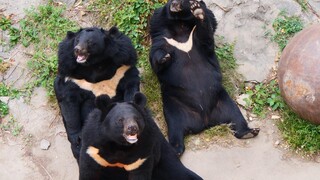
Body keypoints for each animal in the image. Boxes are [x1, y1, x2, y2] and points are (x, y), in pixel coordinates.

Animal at [53, 26, 140, 162]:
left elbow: (131, 83)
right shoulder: (71, 76)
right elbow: (69, 103)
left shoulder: (122, 66)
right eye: (77, 40)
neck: (94, 65)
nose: (77, 50)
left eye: (90, 42)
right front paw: (76, 137)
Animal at [149, 0, 260, 155]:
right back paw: (175, 148)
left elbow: (206, 37)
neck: (180, 24)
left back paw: (249, 131)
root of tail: (205, 121)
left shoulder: (200, 34)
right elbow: (155, 55)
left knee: (236, 116)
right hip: (174, 107)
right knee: (174, 127)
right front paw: (164, 57)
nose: (174, 4)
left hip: (222, 100)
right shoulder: (161, 32)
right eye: (171, 0)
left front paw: (197, 10)